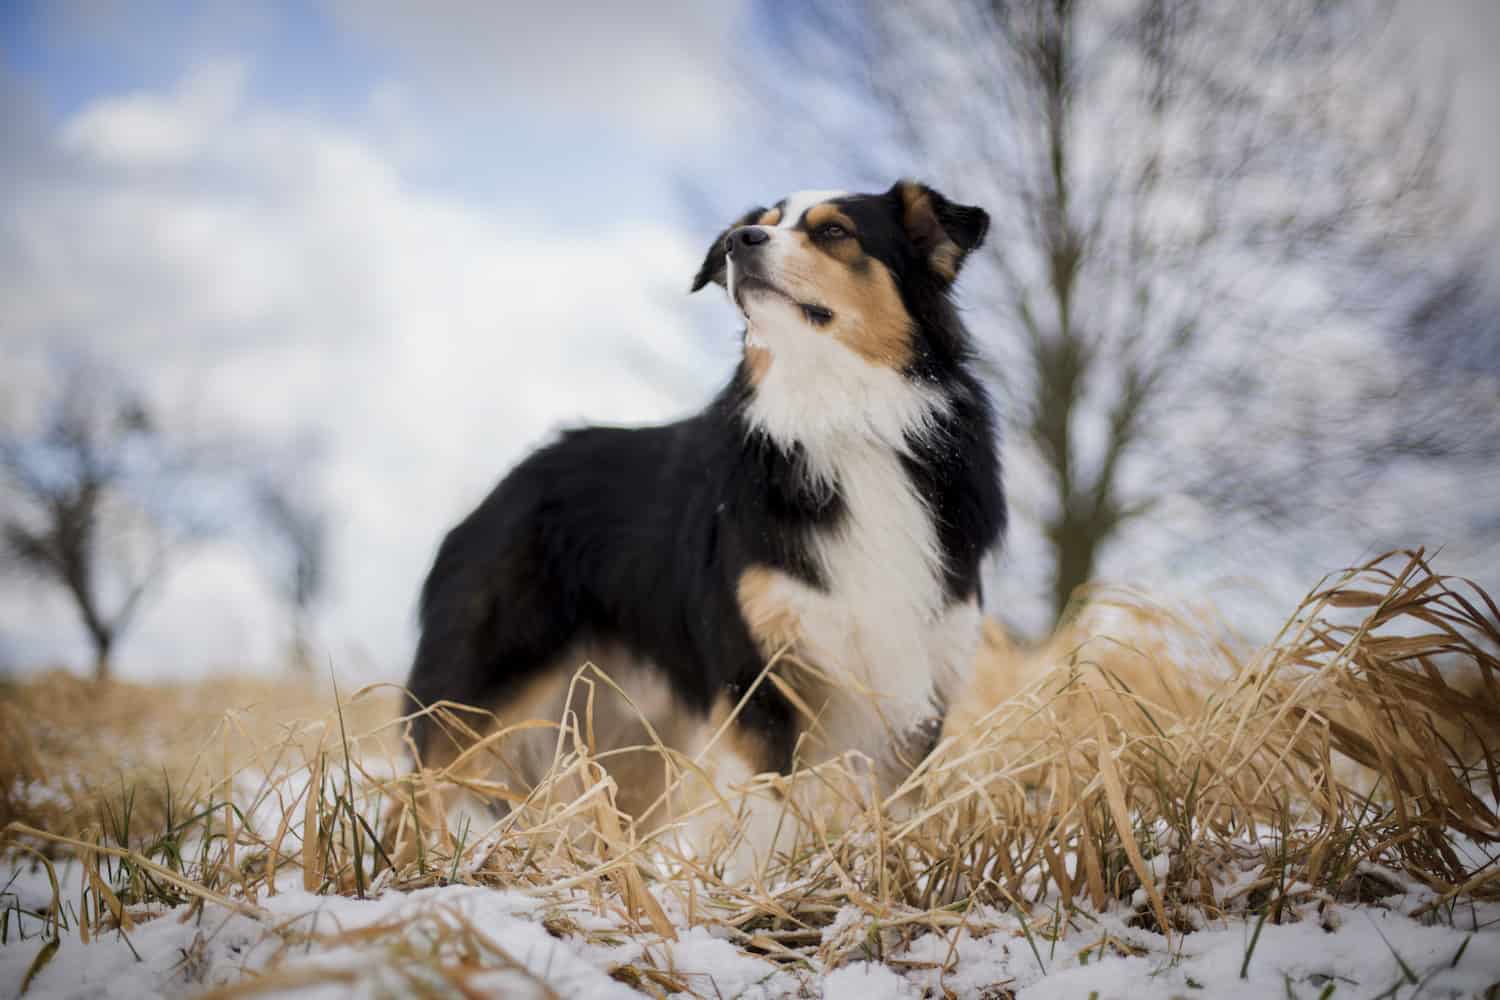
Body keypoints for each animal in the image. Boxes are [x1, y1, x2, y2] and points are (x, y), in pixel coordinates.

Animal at [405, 182, 1002, 851]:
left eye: (834, 232)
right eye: (764, 222)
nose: (740, 240)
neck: (840, 421)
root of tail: (499, 490)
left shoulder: (916, 686)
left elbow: (899, 818)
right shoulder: (757, 678)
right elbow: (769, 822)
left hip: (633, 744)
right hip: (475, 695)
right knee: (418, 794)